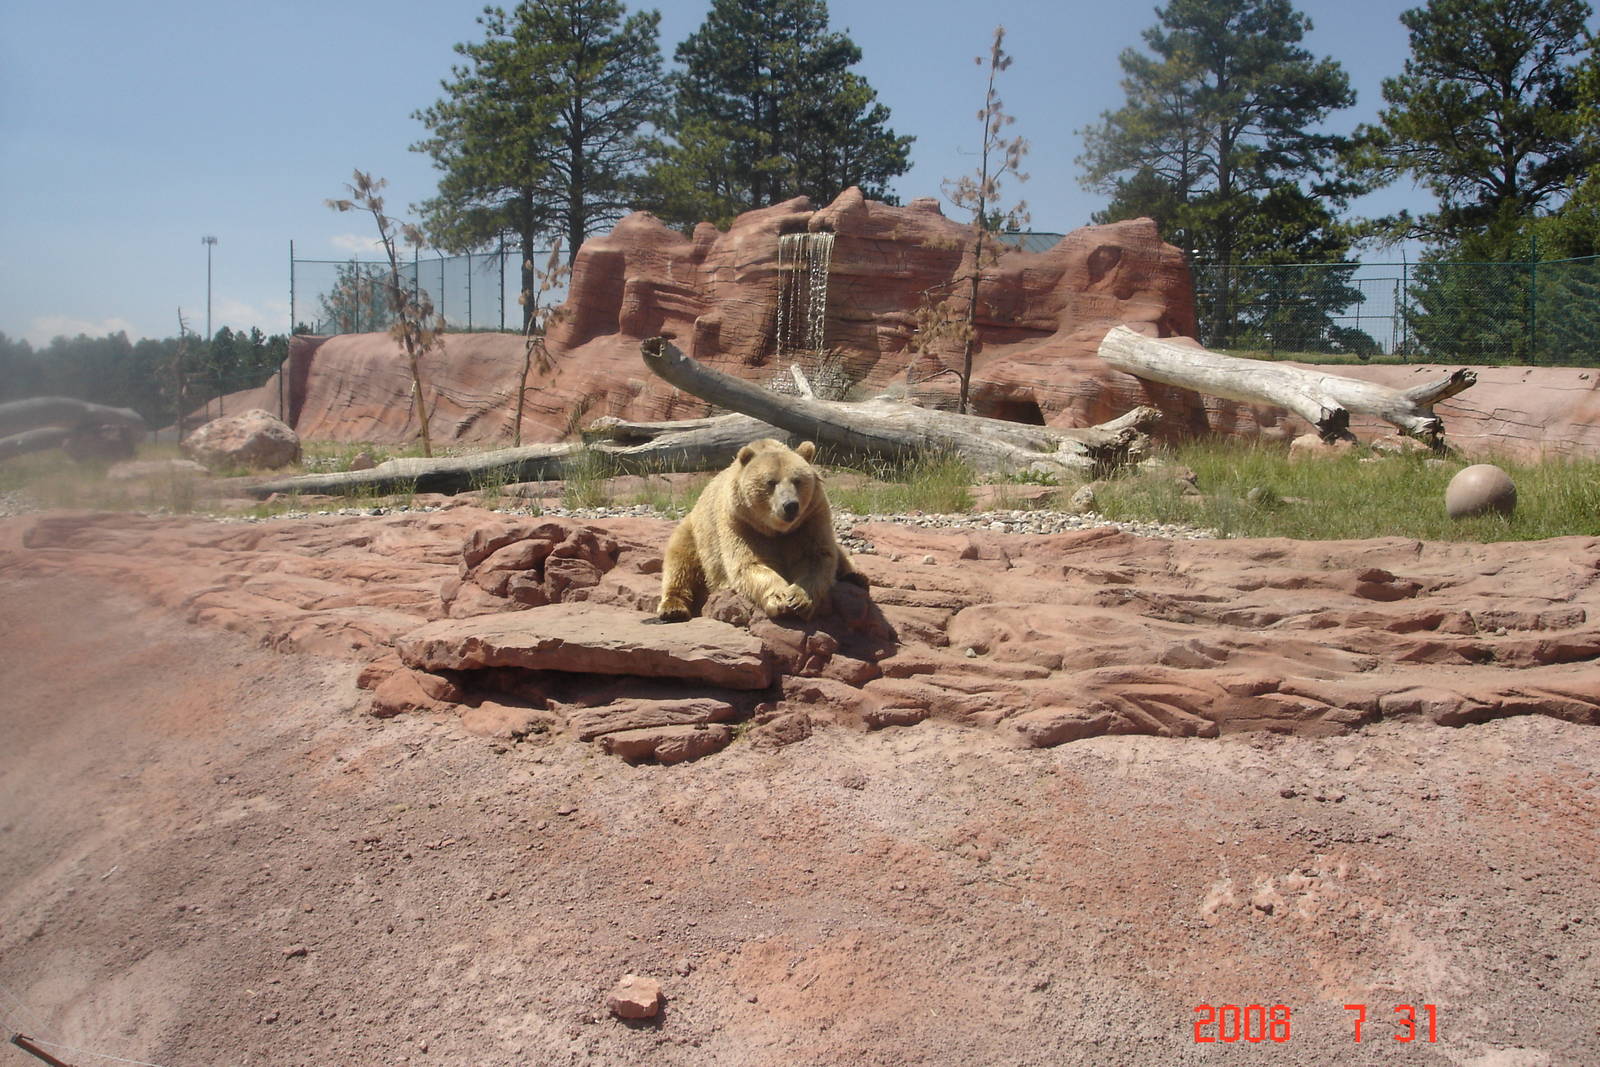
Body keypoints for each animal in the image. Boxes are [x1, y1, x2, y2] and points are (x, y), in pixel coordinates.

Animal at [656, 438, 866, 622]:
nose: (790, 505)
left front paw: (798, 599)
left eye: (797, 480)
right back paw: (673, 608)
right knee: (680, 562)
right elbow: (748, 563)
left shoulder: (810, 519)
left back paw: (855, 577)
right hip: (695, 534)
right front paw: (780, 598)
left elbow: (817, 556)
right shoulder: (741, 523)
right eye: (771, 482)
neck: (775, 529)